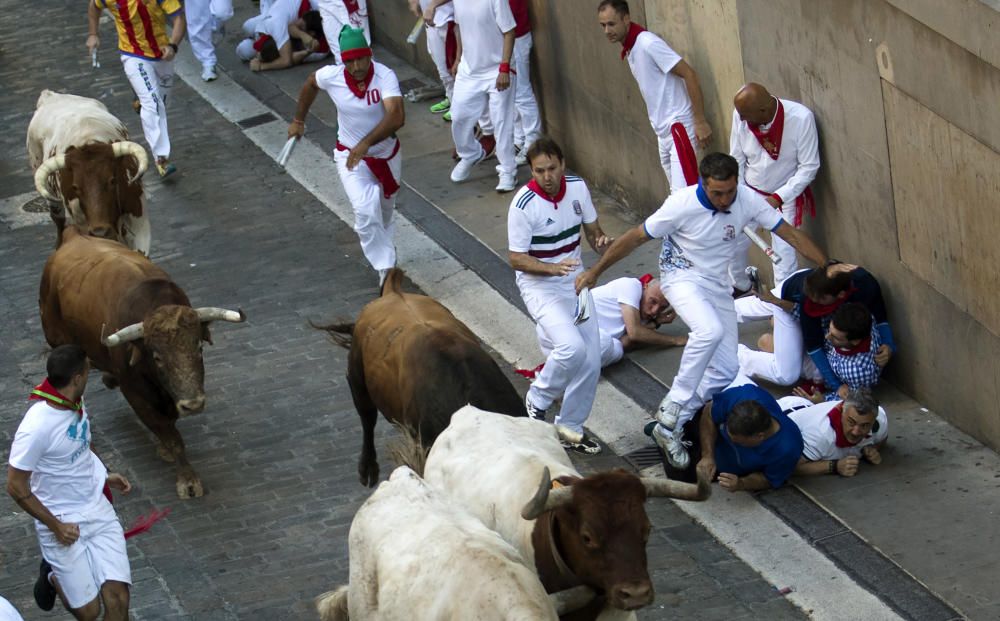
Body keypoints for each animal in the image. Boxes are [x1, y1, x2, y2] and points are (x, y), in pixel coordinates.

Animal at [26, 88, 150, 253]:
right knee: (58, 219)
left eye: (112, 181)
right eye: (75, 187)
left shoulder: (139, 221)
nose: (100, 232)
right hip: (52, 199)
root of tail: (49, 95)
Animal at [39, 225, 246, 496]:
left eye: (199, 347)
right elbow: (169, 433)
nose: (193, 405)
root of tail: (72, 235)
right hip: (56, 339)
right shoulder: (135, 392)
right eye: (157, 357)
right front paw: (187, 480)